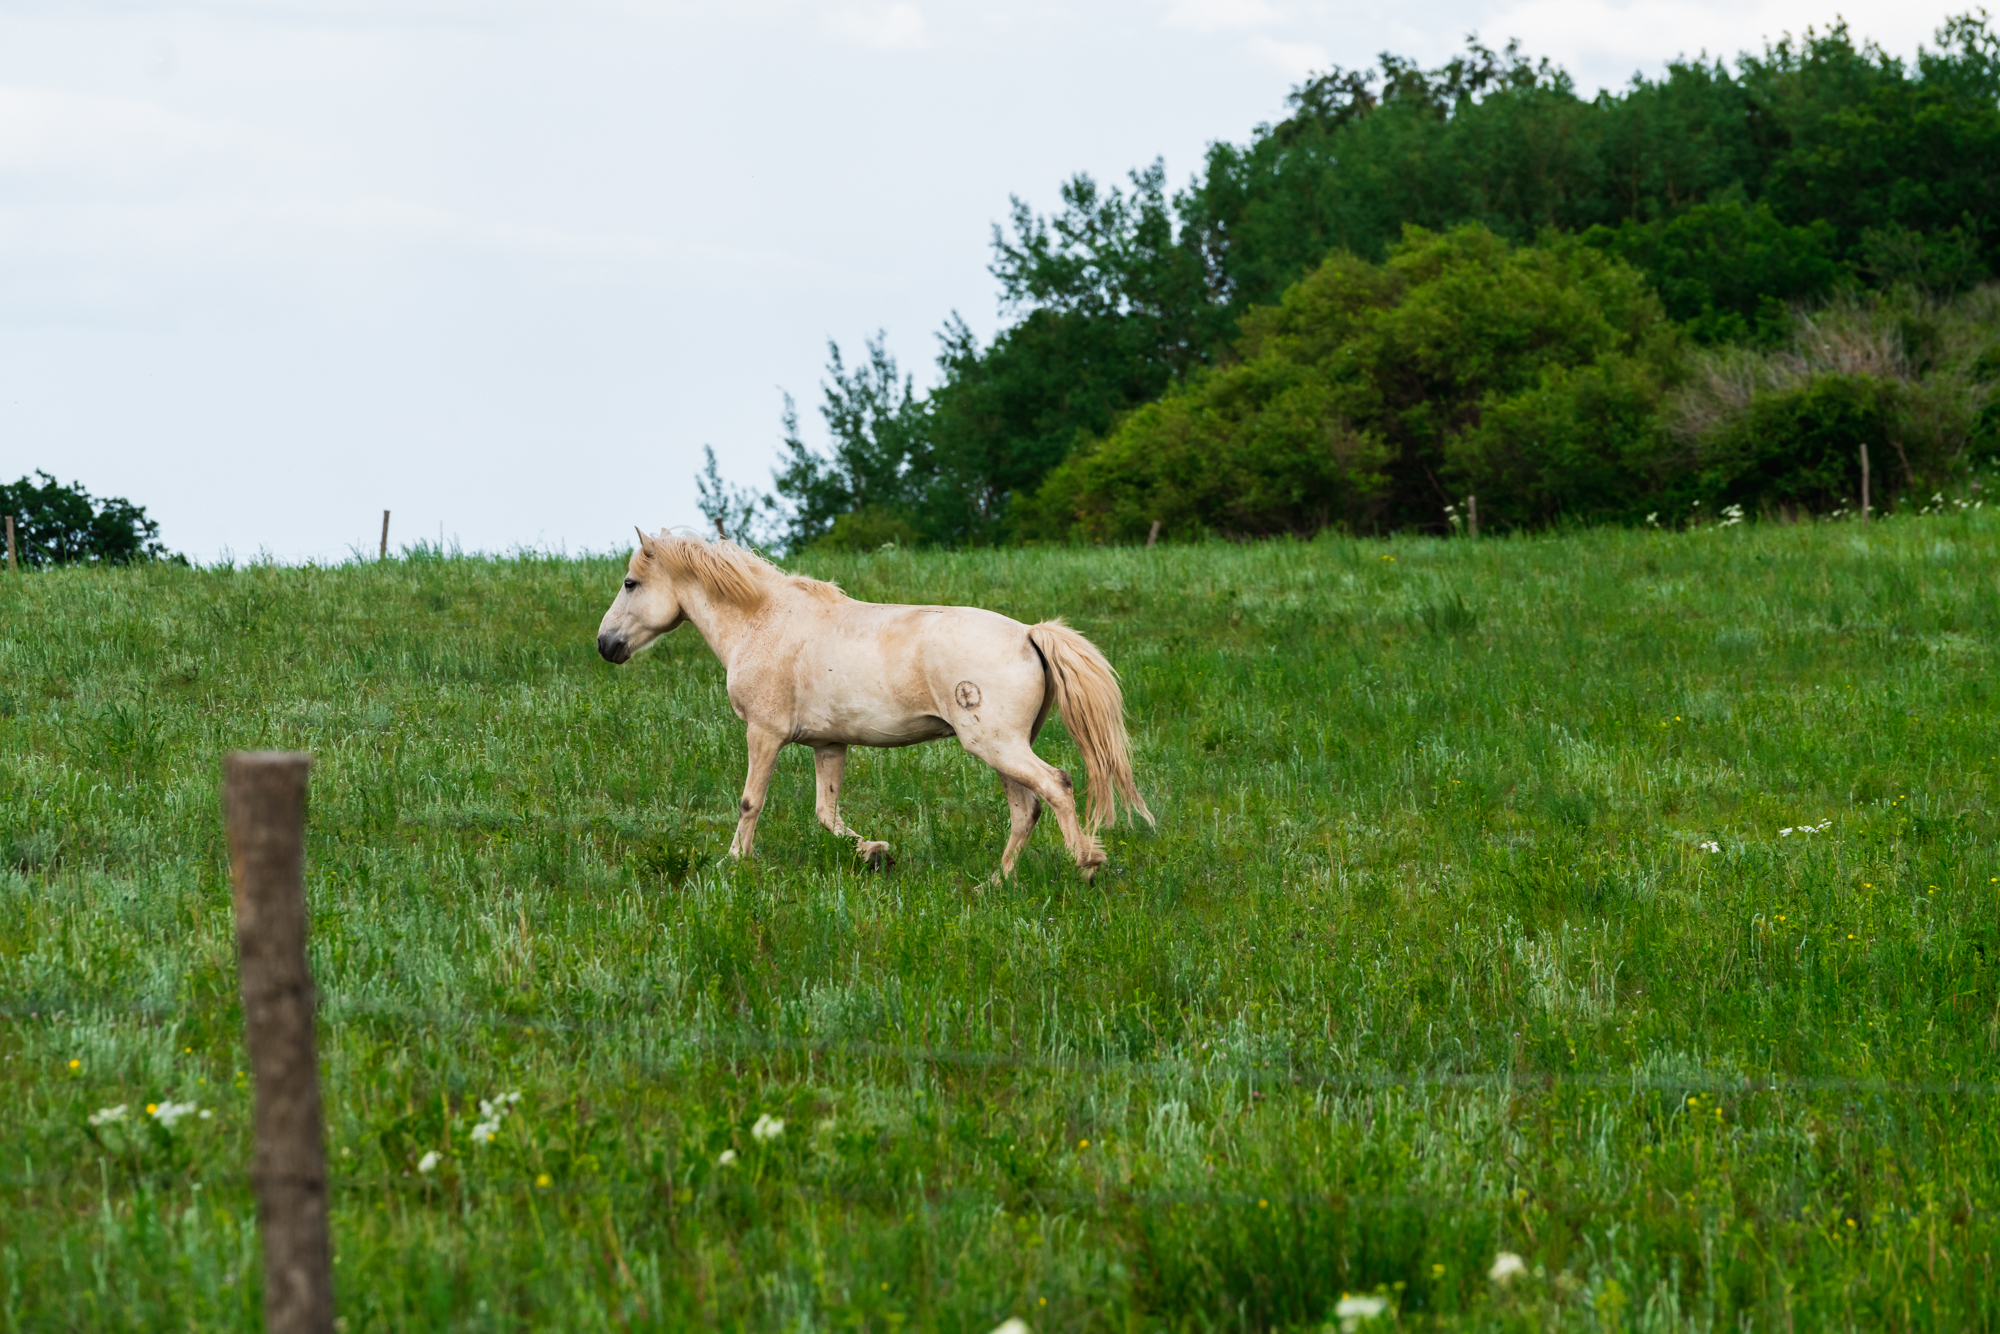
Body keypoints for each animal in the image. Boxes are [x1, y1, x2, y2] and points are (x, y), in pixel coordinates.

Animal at [592, 528, 1152, 880]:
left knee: (1056, 786)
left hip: (998, 746)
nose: (605, 645)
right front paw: (876, 854)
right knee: (1026, 809)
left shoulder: (764, 733)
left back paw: (1086, 864)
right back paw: (997, 882)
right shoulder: (829, 745)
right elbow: (827, 814)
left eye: (630, 583)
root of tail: (1030, 634)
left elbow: (752, 801)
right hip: (1002, 750)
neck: (763, 621)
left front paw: (735, 863)